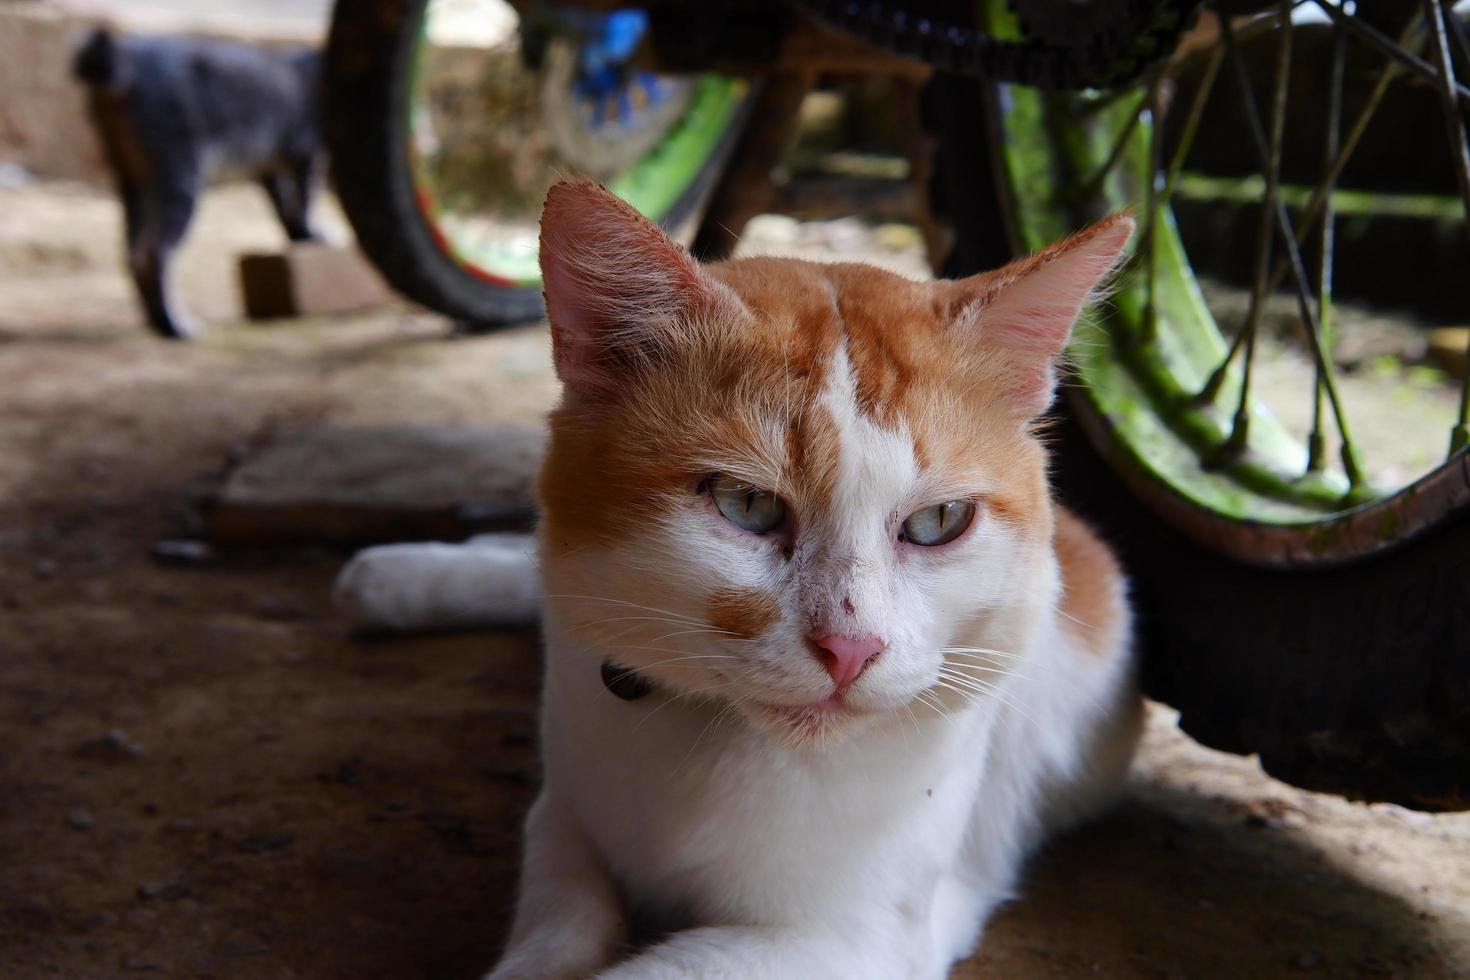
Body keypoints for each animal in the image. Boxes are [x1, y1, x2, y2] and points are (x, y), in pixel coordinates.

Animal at [338, 179, 1140, 975]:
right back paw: (394, 577)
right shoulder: (563, 817)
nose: (850, 649)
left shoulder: (852, 940)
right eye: (746, 504)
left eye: (939, 521)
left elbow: (642, 971)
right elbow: (557, 927)